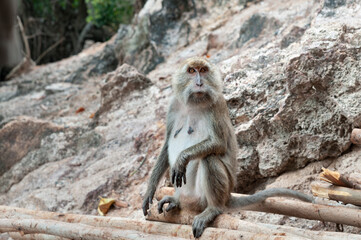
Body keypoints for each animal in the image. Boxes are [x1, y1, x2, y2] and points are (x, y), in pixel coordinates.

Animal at [142, 56, 310, 238]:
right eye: (192, 71)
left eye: (203, 70)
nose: (199, 83)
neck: (194, 103)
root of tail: (228, 195)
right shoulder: (173, 105)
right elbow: (166, 145)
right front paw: (150, 190)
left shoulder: (217, 104)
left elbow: (218, 144)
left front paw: (182, 158)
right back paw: (176, 201)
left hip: (209, 195)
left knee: (209, 158)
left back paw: (213, 209)